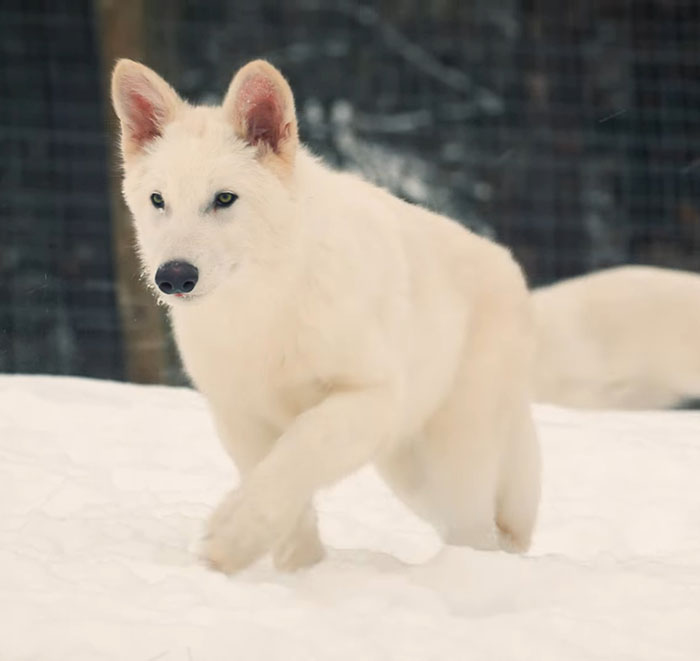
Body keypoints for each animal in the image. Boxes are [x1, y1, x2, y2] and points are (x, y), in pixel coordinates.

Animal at [111, 58, 540, 573]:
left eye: (224, 199)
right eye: (159, 201)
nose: (174, 277)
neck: (264, 307)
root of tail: (510, 268)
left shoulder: (369, 397)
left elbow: (297, 453)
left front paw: (232, 539)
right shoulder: (240, 416)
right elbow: (282, 489)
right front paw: (299, 570)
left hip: (451, 462)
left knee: (479, 533)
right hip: (411, 475)